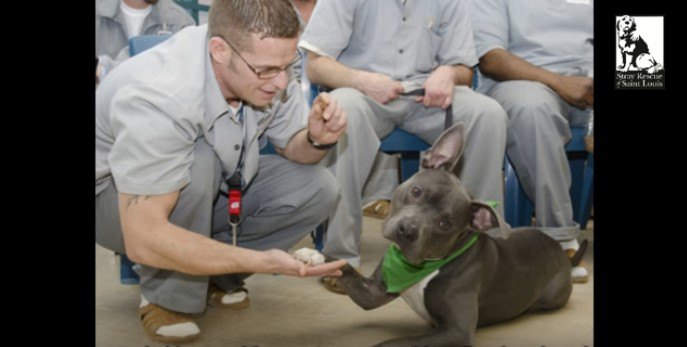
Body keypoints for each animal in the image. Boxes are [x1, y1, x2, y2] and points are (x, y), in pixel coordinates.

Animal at [332, 123, 584, 347]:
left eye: (445, 224)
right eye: (416, 191)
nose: (407, 230)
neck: (424, 267)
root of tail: (559, 250)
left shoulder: (456, 332)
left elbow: (393, 343)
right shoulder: (372, 292)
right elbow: (347, 271)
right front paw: (324, 261)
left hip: (551, 297)